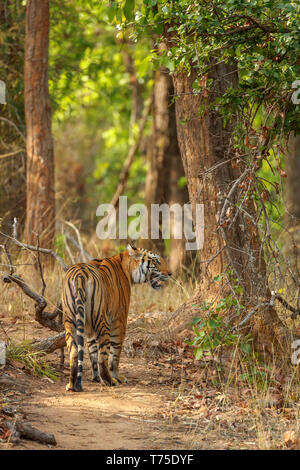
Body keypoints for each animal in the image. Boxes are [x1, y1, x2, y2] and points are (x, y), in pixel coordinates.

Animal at [61, 244, 171, 392]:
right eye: (156, 261)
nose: (170, 273)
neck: (127, 267)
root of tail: (79, 275)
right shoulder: (120, 319)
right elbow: (115, 352)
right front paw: (117, 376)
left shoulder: (89, 327)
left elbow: (92, 351)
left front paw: (96, 378)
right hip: (103, 320)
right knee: (103, 356)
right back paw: (110, 380)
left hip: (69, 320)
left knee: (74, 352)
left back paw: (72, 384)